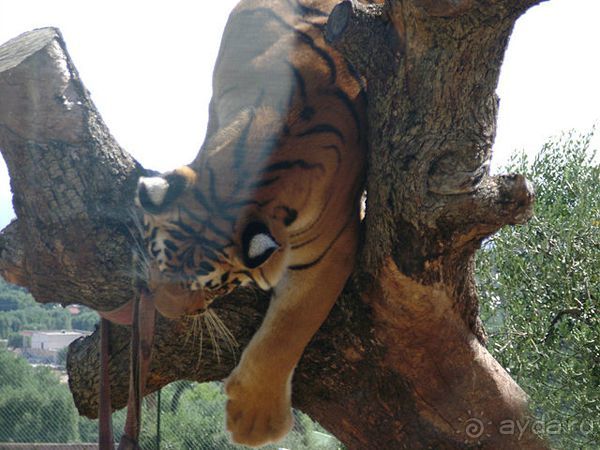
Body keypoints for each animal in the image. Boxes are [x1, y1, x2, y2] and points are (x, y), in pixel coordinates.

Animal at [136, 0, 368, 444]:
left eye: (213, 286)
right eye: (157, 260)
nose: (168, 313)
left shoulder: (333, 249)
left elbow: (288, 331)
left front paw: (254, 422)